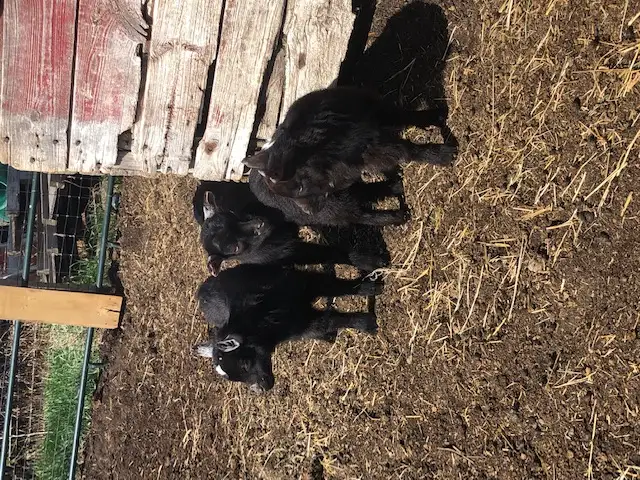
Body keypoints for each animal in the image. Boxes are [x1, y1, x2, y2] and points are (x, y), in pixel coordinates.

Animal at [194, 264, 380, 392]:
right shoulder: (300, 325)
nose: (264, 387)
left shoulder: (304, 286)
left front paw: (371, 288)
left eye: (244, 364)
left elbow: (334, 287)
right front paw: (367, 322)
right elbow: (329, 321)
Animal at [242, 87, 456, 208]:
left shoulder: (377, 116)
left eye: (300, 187)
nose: (312, 211)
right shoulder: (371, 152)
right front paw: (441, 154)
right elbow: (405, 150)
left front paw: (439, 149)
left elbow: (408, 129)